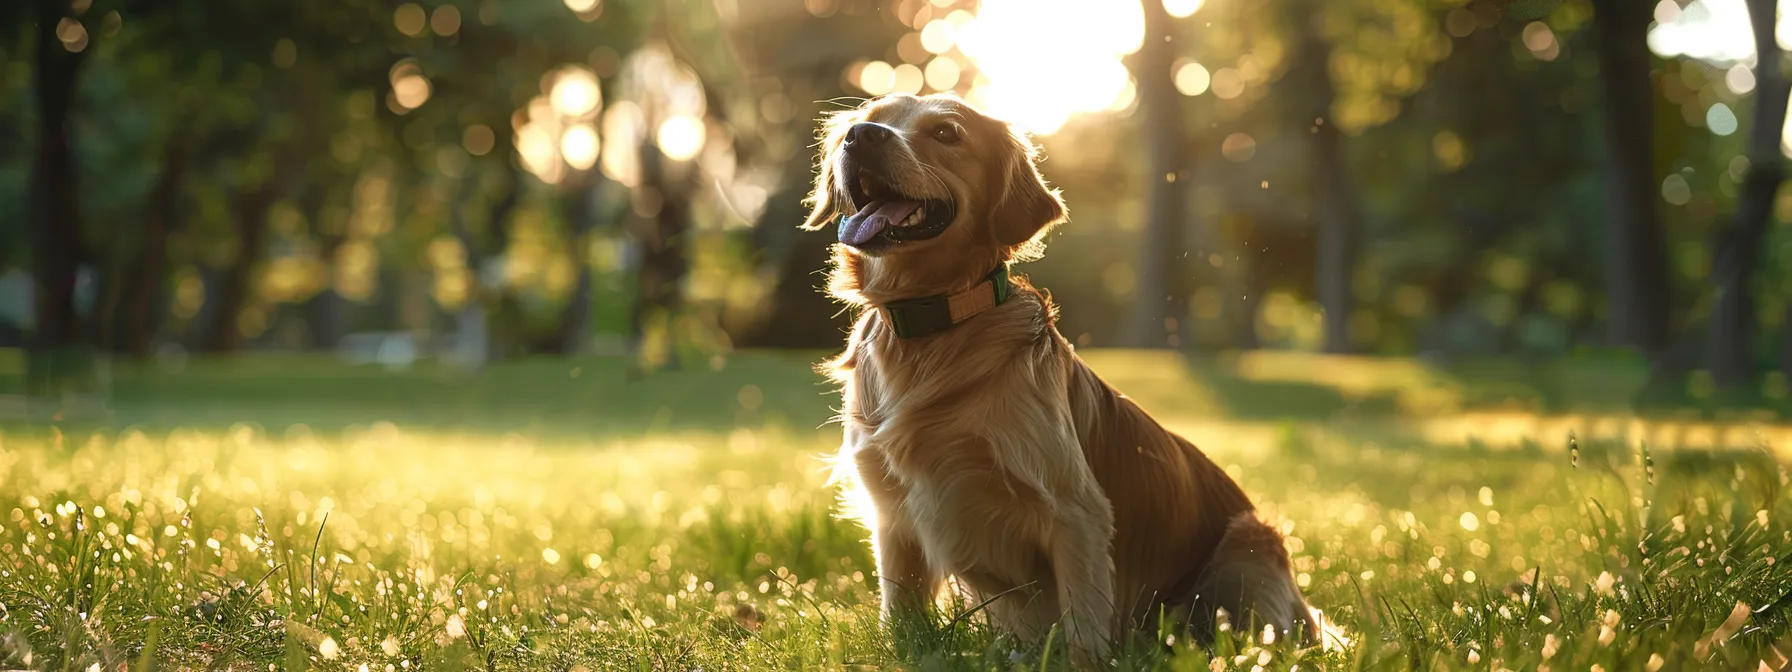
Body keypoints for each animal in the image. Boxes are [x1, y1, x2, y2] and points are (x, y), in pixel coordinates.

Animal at [806, 94, 1311, 670]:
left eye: (947, 133)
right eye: (870, 118)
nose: (862, 137)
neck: (933, 332)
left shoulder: (1077, 511)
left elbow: (1083, 632)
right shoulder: (892, 513)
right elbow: (902, 621)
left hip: (1250, 545)